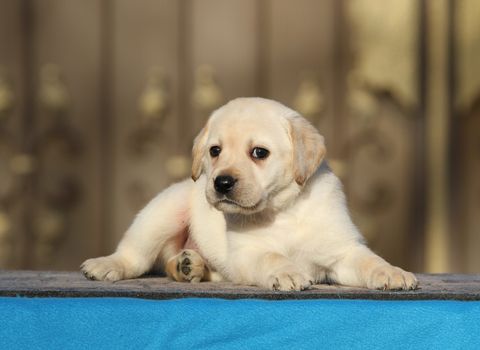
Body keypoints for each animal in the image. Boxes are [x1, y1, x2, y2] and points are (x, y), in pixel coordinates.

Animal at [81, 97, 416, 292]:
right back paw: (107, 265)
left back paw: (189, 266)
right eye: (215, 151)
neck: (283, 211)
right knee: (135, 255)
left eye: (259, 152)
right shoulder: (247, 253)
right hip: (162, 212)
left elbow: (370, 261)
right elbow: (271, 256)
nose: (221, 182)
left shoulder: (342, 249)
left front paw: (393, 273)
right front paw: (287, 272)